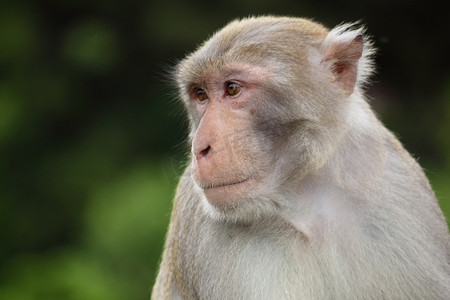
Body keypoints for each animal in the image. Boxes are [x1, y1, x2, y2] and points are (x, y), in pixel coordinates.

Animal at [152, 17, 450, 300]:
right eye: (200, 94)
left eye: (233, 88)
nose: (200, 147)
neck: (307, 196)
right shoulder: (205, 224)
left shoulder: (401, 193)